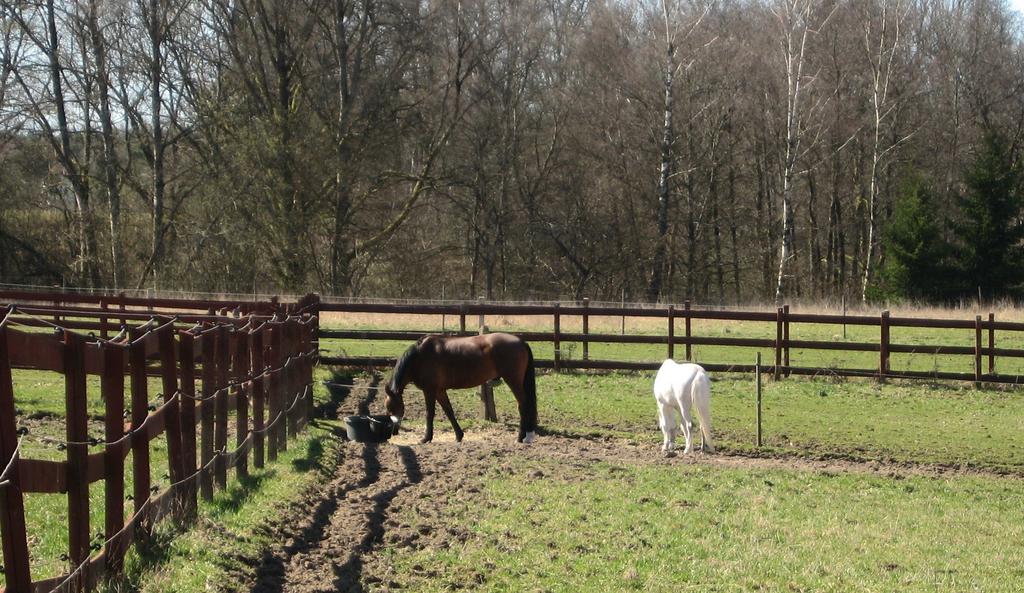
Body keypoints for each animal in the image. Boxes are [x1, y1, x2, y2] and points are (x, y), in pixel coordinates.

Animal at [385, 331, 540, 442]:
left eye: (391, 408)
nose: (393, 432)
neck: (419, 356)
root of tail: (521, 342)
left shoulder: (429, 391)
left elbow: (429, 414)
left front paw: (426, 438)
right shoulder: (440, 391)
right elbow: (449, 411)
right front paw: (459, 435)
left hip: (513, 380)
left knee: (523, 405)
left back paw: (521, 437)